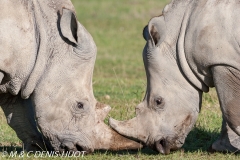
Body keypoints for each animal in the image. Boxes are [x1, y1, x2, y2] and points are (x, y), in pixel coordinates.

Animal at [109, 0, 240, 155]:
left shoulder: (224, 63)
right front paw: (223, 147)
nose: (158, 146)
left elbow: (230, 110)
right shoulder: (222, 62)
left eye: (158, 101)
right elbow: (228, 110)